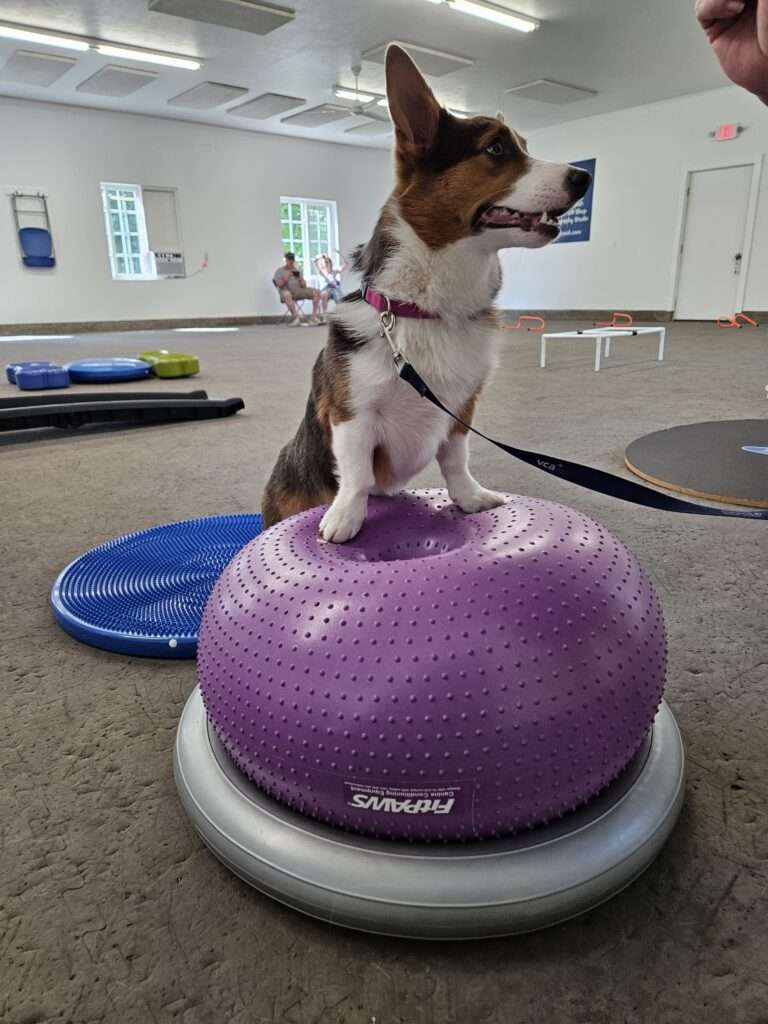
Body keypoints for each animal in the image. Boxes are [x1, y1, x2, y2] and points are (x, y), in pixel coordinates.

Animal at [262, 46, 593, 544]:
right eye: (496, 149)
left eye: (525, 146)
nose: (583, 178)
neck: (428, 307)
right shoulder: (352, 413)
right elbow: (357, 474)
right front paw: (345, 519)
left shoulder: (459, 409)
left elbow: (456, 459)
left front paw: (470, 499)